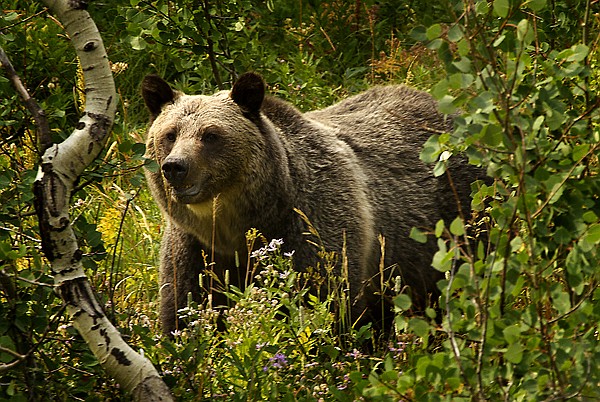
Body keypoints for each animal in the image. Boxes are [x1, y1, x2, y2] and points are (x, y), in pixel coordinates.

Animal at [141, 70, 482, 334]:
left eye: (211, 135)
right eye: (170, 134)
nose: (175, 166)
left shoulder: (312, 223)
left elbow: (323, 302)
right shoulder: (195, 246)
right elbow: (185, 307)